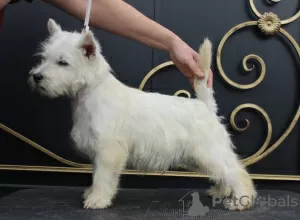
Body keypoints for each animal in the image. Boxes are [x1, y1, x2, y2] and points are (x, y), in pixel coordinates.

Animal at [29, 19, 256, 211]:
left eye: (63, 62)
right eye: (43, 58)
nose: (36, 77)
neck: (91, 92)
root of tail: (205, 105)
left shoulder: (108, 151)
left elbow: (102, 177)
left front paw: (98, 199)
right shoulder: (98, 151)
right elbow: (95, 174)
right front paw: (92, 193)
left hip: (208, 151)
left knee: (236, 172)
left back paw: (240, 200)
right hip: (200, 157)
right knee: (224, 173)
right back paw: (221, 191)